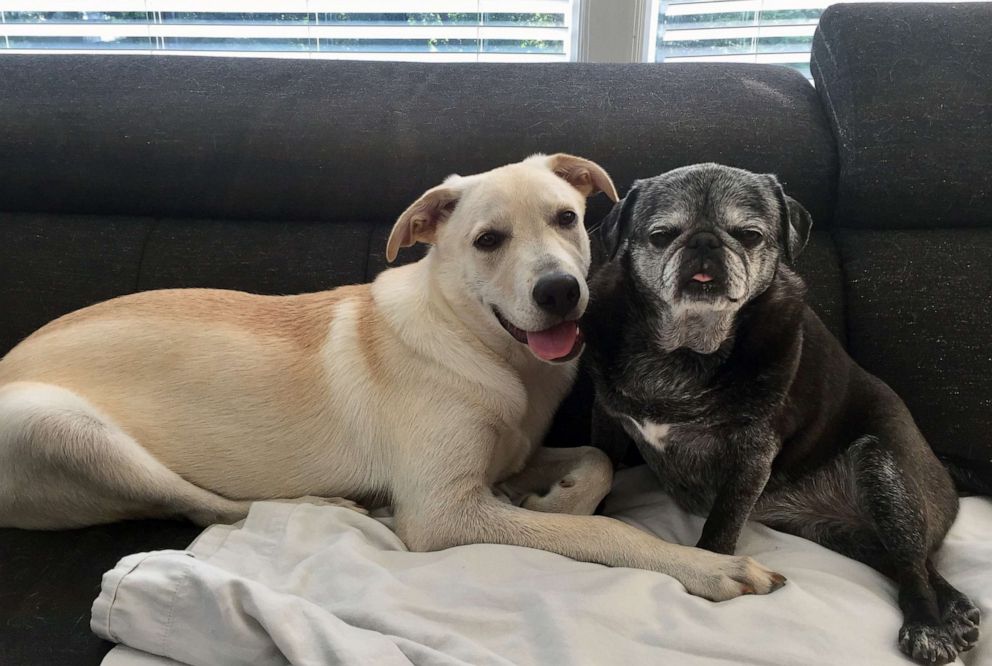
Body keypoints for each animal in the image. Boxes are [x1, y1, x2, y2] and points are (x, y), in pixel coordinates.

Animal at [0, 156, 784, 600]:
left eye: (567, 218)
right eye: (488, 241)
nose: (562, 291)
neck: (483, 349)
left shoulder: (514, 452)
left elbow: (592, 460)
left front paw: (556, 499)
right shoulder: (442, 513)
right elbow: (604, 533)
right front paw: (704, 567)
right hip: (60, 426)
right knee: (205, 506)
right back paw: (332, 505)